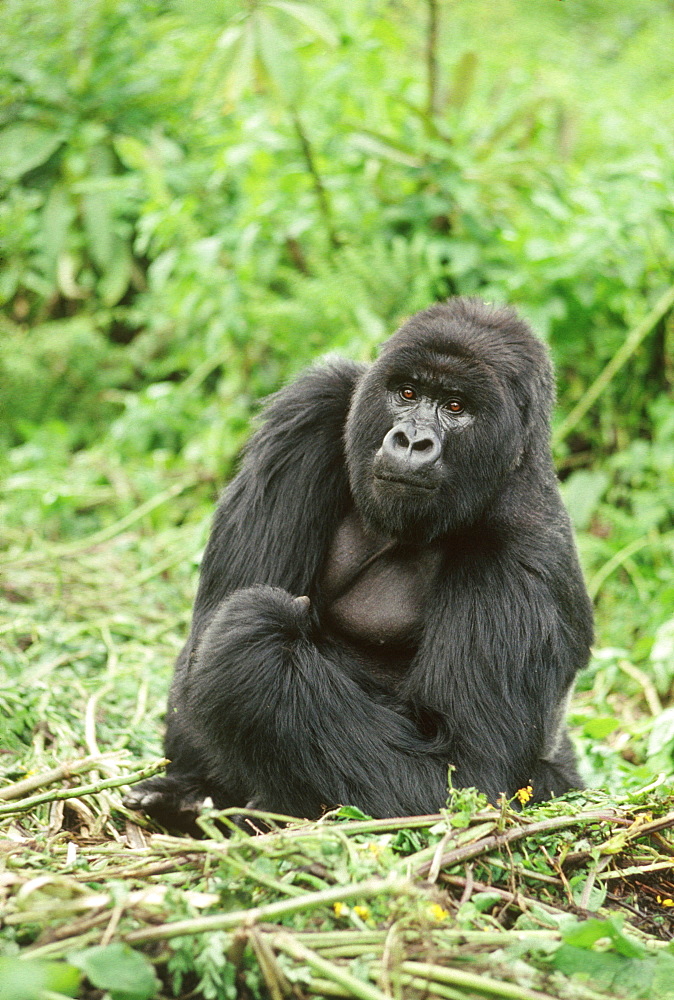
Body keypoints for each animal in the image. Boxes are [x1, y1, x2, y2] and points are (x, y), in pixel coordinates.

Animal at [126, 298, 588, 828]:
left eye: (456, 407)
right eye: (407, 393)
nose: (411, 440)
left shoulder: (524, 543)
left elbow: (466, 777)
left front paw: (256, 633)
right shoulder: (312, 408)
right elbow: (202, 645)